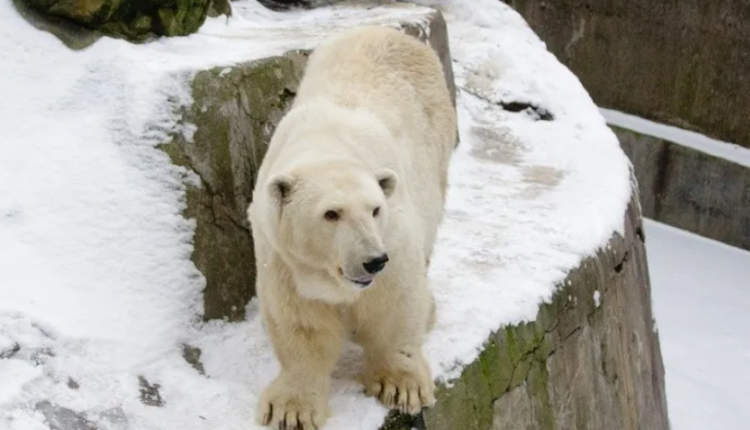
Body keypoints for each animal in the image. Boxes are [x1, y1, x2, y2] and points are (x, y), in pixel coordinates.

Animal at [247, 25, 458, 428]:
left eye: (375, 209)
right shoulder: (283, 257)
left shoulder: (394, 235)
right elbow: (301, 322)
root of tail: (389, 30)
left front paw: (401, 386)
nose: (373, 260)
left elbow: (395, 301)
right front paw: (291, 409)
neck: (326, 144)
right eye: (331, 214)